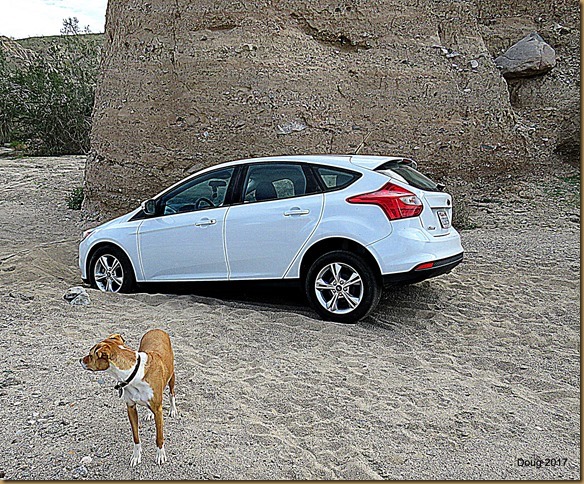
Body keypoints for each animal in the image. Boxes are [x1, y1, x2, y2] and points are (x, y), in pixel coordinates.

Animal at [80, 329, 177, 466]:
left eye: (90, 354)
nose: (79, 360)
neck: (134, 373)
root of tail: (156, 329)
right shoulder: (130, 407)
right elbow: (135, 437)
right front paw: (136, 456)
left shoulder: (158, 410)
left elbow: (159, 437)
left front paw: (160, 455)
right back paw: (149, 413)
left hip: (172, 376)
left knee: (172, 393)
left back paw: (173, 410)